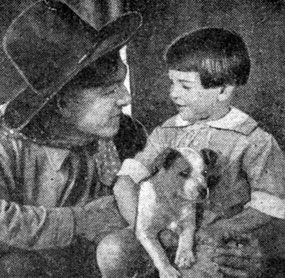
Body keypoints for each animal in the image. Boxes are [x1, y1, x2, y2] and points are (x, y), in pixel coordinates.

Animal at [134, 147, 216, 276]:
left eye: (205, 172)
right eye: (184, 173)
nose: (203, 191)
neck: (173, 202)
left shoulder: (188, 223)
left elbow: (186, 238)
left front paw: (184, 256)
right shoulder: (145, 231)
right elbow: (158, 252)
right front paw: (168, 270)